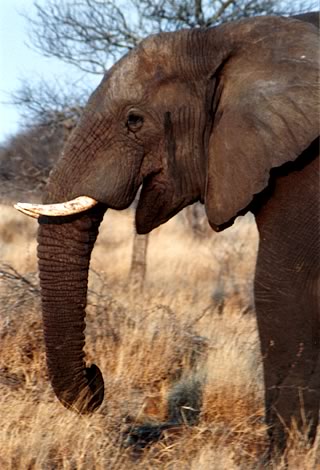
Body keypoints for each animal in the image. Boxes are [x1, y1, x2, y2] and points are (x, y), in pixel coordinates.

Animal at [16, 12, 318, 454]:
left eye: (134, 120)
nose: (95, 374)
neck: (225, 38)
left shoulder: (306, 166)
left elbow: (281, 285)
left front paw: (284, 455)